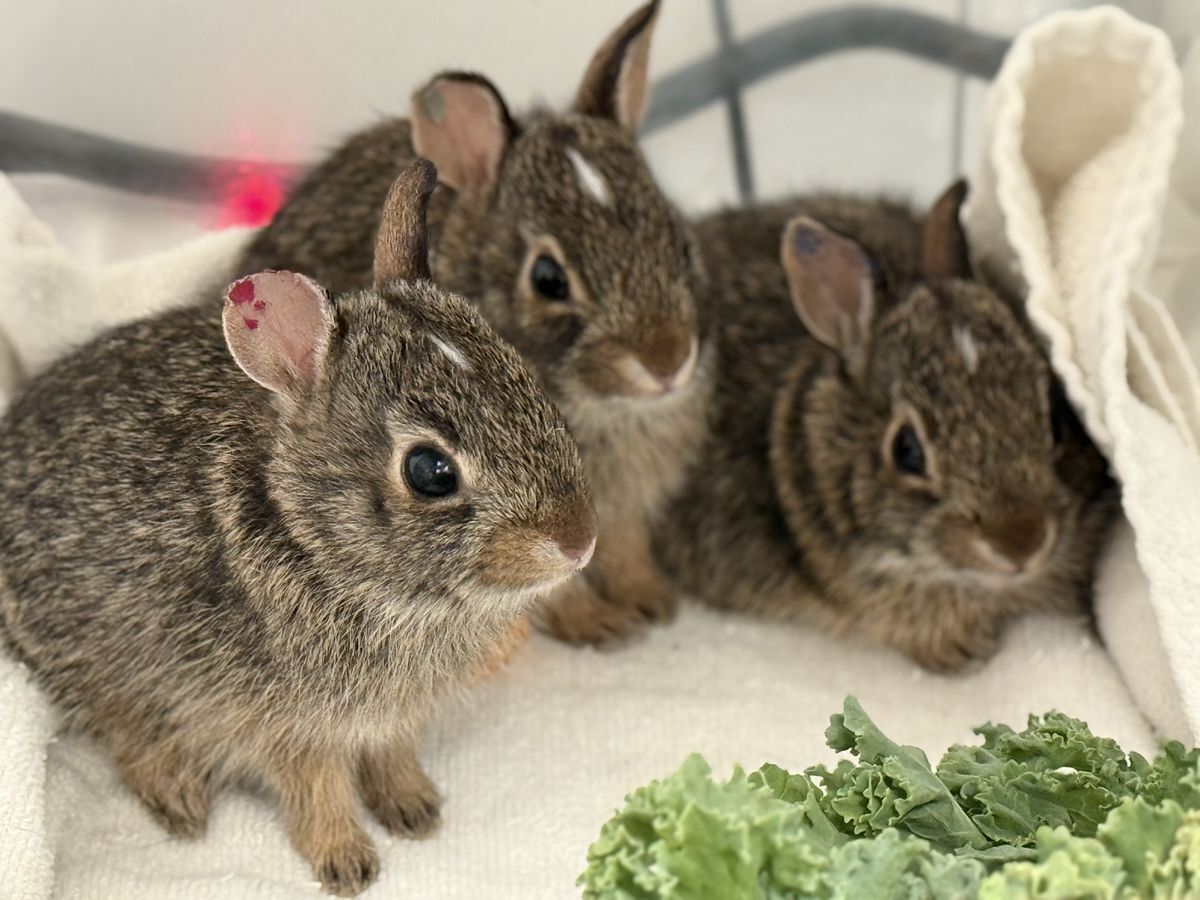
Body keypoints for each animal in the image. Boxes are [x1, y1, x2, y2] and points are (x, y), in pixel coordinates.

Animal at [0, 160, 597, 897]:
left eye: (529, 384)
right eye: (430, 472)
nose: (579, 542)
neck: (312, 543)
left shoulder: (388, 717)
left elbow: (390, 754)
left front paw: (414, 809)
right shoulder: (288, 720)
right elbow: (317, 786)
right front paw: (348, 863)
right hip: (105, 665)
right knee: (124, 730)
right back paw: (181, 800)